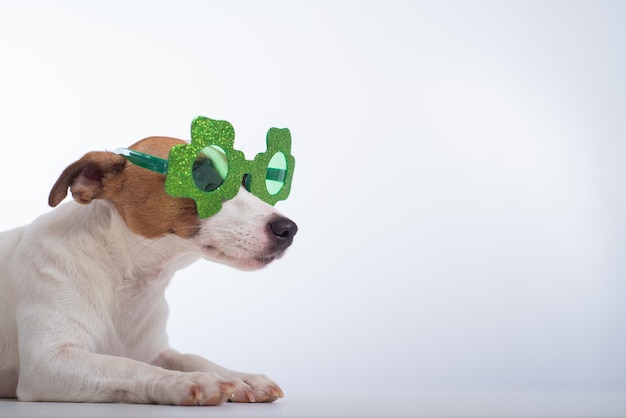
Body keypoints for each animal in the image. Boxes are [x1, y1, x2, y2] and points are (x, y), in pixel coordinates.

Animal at [0, 133, 296, 404]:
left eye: (247, 181)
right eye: (201, 178)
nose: (288, 229)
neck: (126, 278)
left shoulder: (155, 351)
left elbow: (190, 357)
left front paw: (240, 377)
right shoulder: (47, 364)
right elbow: (127, 366)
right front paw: (189, 381)